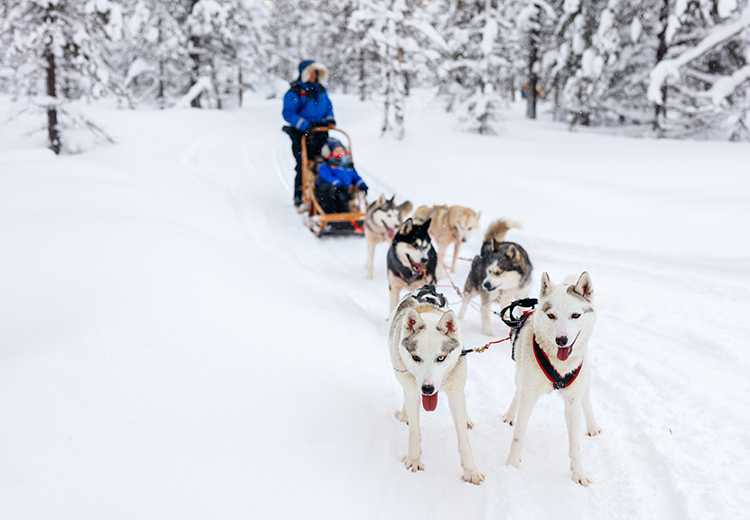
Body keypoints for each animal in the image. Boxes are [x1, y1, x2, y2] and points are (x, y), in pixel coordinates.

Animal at [390, 286, 484, 486]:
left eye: (441, 358)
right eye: (416, 357)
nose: (427, 389)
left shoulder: (455, 393)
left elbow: (463, 439)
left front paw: (470, 471)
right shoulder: (413, 390)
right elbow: (415, 430)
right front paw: (414, 459)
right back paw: (404, 414)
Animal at [506, 272, 604, 488]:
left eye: (575, 315)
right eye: (551, 316)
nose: (561, 340)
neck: (559, 366)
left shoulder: (572, 402)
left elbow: (575, 444)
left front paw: (578, 473)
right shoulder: (528, 396)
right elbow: (518, 434)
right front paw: (511, 466)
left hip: (584, 380)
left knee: (587, 399)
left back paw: (593, 426)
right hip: (520, 375)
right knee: (517, 391)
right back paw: (509, 414)